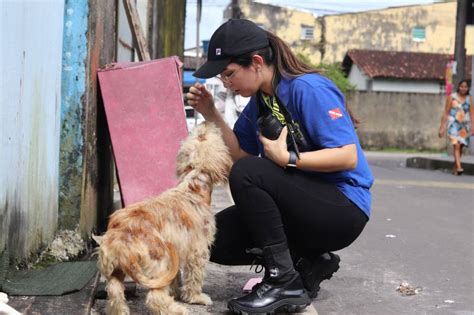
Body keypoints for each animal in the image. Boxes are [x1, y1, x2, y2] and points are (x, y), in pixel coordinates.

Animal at [94, 122, 231, 314]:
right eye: (207, 135)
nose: (206, 122)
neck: (193, 185)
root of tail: (122, 232)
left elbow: (175, 279)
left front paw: (176, 292)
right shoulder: (197, 250)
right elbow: (194, 276)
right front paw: (196, 298)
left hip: (117, 269)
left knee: (115, 292)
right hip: (159, 261)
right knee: (154, 296)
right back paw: (176, 309)